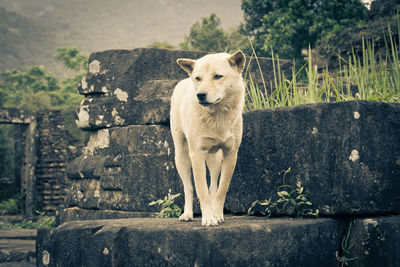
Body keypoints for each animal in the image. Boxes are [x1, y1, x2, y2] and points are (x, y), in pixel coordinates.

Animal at [170, 50, 245, 226]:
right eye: (198, 78)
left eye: (217, 76)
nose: (200, 95)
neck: (217, 115)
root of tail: (184, 80)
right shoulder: (196, 154)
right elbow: (201, 189)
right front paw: (208, 218)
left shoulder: (231, 153)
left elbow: (221, 189)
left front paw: (216, 214)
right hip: (181, 156)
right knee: (188, 187)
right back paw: (187, 214)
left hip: (215, 158)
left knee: (213, 185)